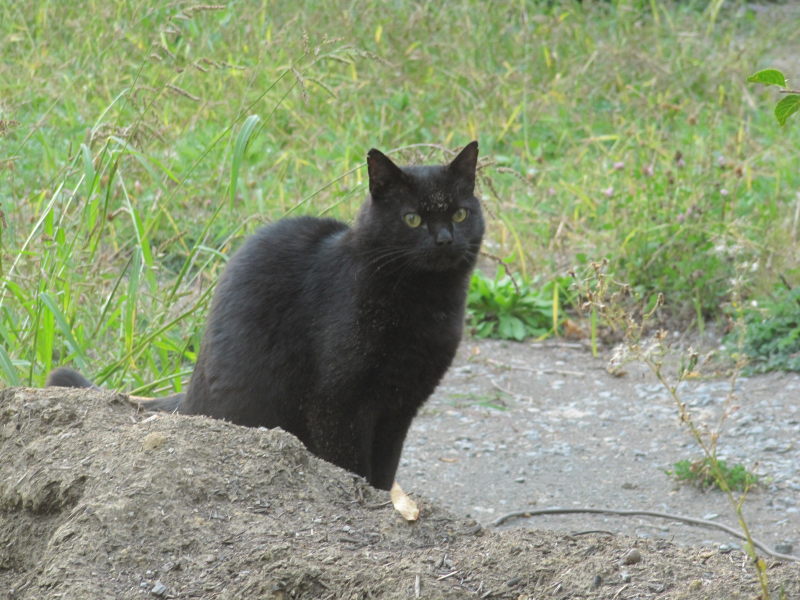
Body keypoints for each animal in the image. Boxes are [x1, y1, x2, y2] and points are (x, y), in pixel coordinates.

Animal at [51, 143, 488, 490]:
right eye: (412, 218)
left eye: (460, 215)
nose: (445, 239)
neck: (425, 304)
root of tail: (191, 394)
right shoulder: (336, 400)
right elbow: (348, 462)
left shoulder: (401, 405)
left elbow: (385, 468)